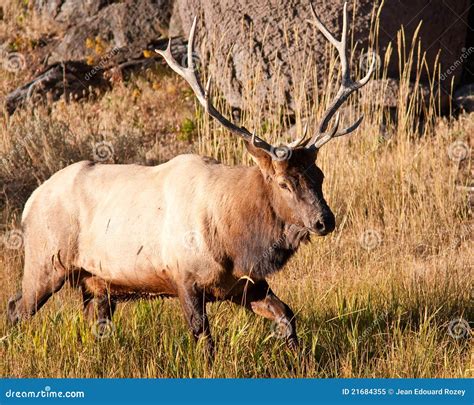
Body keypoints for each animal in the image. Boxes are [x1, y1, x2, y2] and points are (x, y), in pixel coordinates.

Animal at [7, 3, 374, 354]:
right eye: (284, 183)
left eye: (319, 176)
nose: (324, 220)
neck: (233, 238)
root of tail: (28, 203)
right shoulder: (183, 277)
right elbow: (203, 339)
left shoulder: (244, 284)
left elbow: (287, 315)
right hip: (44, 262)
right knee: (16, 307)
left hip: (96, 283)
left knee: (92, 323)